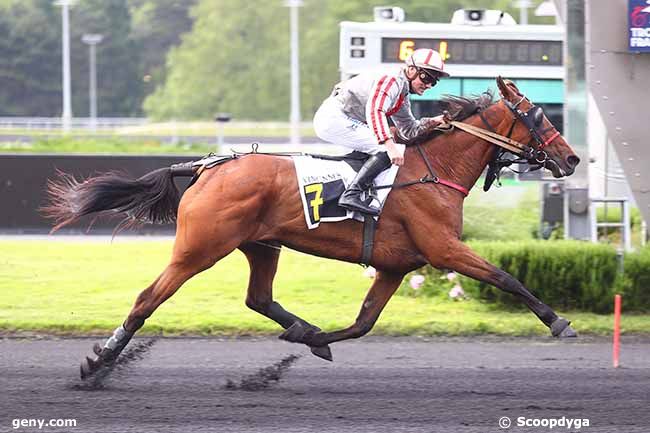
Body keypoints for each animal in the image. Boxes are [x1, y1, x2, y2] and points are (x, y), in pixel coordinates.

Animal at [48, 77, 580, 378]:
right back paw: (99, 362)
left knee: (258, 299)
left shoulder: (395, 265)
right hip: (200, 248)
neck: (433, 170)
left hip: (262, 246)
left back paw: (301, 328)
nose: (572, 159)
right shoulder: (443, 249)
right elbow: (506, 277)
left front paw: (316, 340)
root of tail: (208, 166)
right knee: (147, 299)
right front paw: (558, 322)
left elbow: (364, 323)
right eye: (538, 116)